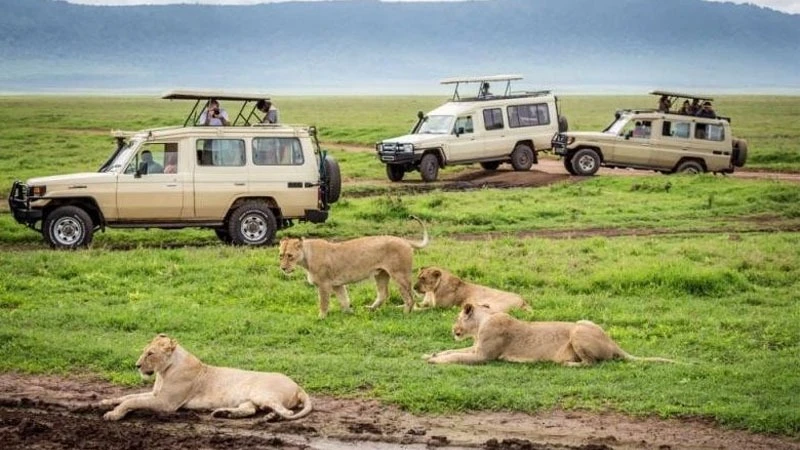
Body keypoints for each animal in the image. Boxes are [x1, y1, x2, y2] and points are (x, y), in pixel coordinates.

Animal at [101, 336, 312, 420]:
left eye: (150, 354)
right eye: (144, 351)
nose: (137, 365)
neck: (163, 372)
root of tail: (298, 386)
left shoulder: (166, 403)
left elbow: (132, 401)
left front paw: (113, 414)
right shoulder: (156, 394)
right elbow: (127, 397)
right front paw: (105, 402)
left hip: (261, 394)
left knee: (287, 412)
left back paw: (271, 417)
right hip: (250, 400)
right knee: (250, 410)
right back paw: (224, 413)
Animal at [282, 216, 432, 318]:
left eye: (289, 255)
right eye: (280, 255)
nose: (283, 268)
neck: (306, 257)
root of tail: (404, 240)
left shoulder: (324, 284)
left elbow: (323, 302)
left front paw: (321, 317)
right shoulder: (337, 284)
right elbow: (344, 299)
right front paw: (349, 313)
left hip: (399, 274)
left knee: (410, 296)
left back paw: (405, 313)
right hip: (381, 274)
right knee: (383, 294)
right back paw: (370, 309)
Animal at [424, 302, 676, 366]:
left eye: (457, 318)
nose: (453, 330)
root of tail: (614, 343)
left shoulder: (484, 356)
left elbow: (456, 356)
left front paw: (435, 360)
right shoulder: (475, 347)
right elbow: (452, 349)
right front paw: (430, 354)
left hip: (577, 331)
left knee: (592, 363)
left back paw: (568, 364)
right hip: (584, 323)